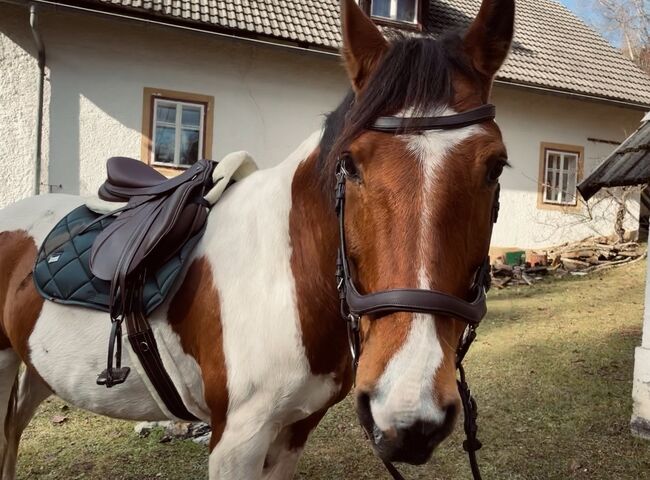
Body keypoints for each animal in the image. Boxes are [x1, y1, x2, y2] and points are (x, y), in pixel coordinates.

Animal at [0, 1, 512, 478]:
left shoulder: (297, 428)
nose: (407, 413)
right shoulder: (236, 439)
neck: (287, 279)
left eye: (496, 166)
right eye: (349, 164)